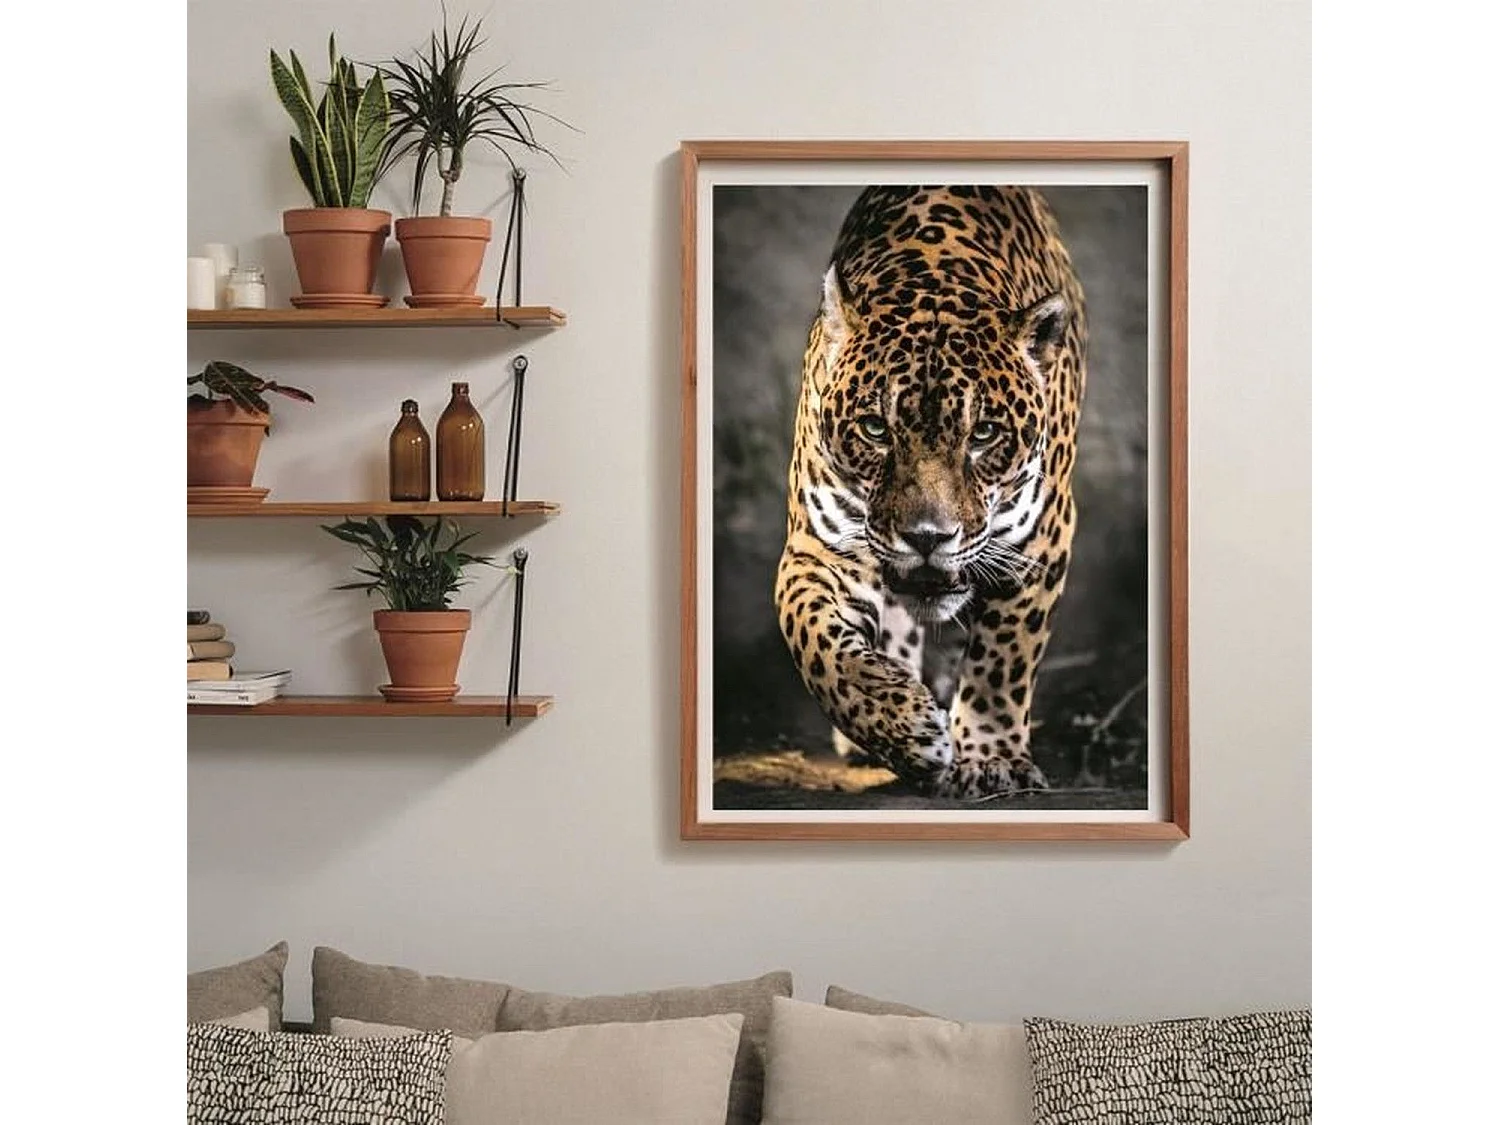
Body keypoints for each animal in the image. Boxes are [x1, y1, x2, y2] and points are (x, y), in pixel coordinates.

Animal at [772, 184, 1087, 799]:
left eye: (983, 434)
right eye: (876, 429)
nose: (927, 538)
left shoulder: (1040, 540)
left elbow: (1003, 659)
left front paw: (991, 759)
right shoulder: (818, 547)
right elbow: (814, 639)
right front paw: (905, 728)